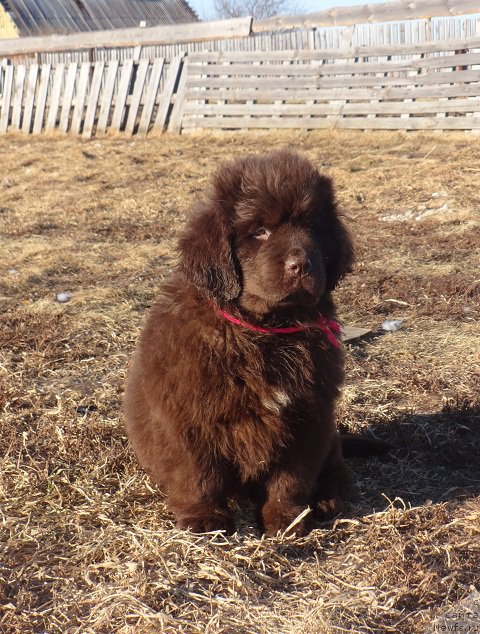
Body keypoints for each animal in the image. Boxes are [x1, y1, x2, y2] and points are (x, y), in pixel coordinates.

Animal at [124, 149, 356, 532]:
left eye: (312, 228)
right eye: (260, 231)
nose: (301, 264)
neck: (264, 330)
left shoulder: (309, 416)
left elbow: (291, 478)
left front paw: (285, 519)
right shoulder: (187, 417)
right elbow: (197, 474)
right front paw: (203, 519)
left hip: (330, 437)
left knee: (337, 469)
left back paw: (326, 500)